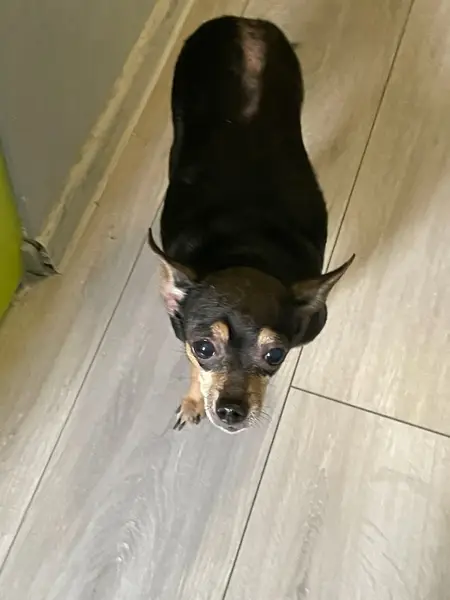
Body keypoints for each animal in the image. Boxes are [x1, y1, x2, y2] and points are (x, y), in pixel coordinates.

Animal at [148, 15, 354, 434]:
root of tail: (244, 22)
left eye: (275, 354)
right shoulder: (182, 329)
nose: (231, 409)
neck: (244, 250)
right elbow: (193, 369)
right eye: (204, 347)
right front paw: (194, 399)